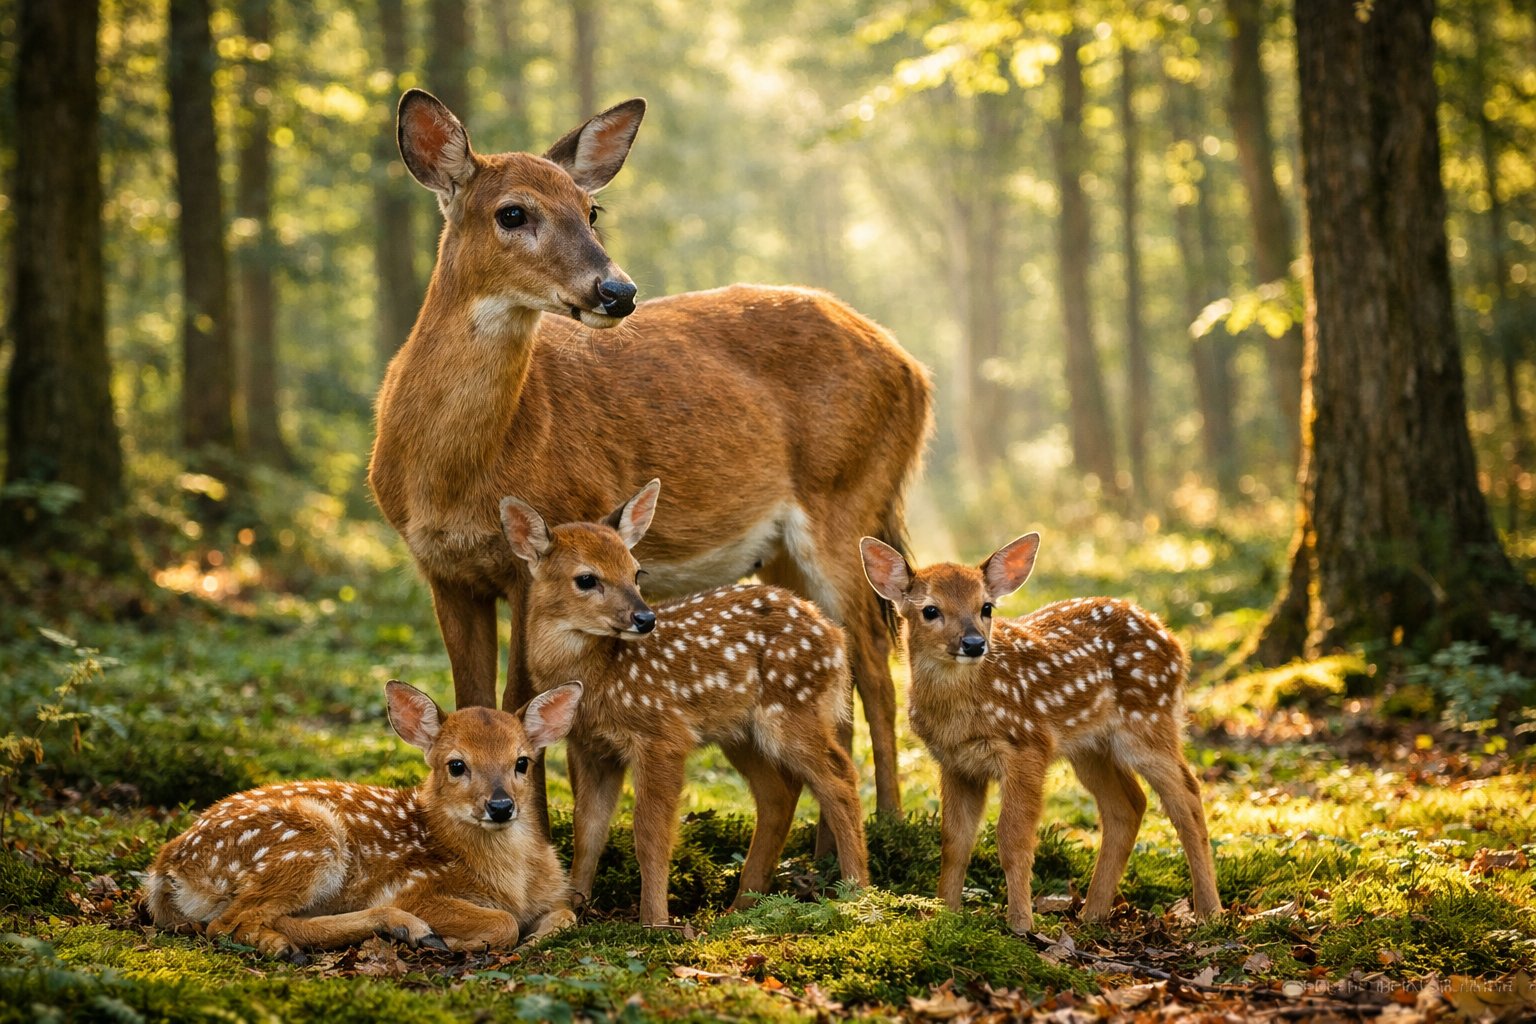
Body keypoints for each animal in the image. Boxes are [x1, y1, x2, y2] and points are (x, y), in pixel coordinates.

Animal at [145, 680, 583, 958]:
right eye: (457, 765)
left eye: (522, 762)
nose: (501, 806)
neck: (511, 880)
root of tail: (165, 865)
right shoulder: (413, 886)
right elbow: (505, 922)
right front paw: (466, 942)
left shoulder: (555, 894)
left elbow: (567, 914)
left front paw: (534, 938)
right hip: (308, 843)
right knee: (226, 924)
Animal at [368, 89, 931, 831]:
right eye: (512, 212)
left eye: (591, 209)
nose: (617, 291)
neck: (457, 474)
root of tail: (914, 369)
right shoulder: (443, 569)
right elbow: (472, 698)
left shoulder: (536, 558)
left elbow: (523, 704)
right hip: (785, 551)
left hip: (848, 499)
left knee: (874, 662)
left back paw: (890, 823)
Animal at [497, 479, 869, 926]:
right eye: (586, 579)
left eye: (636, 572)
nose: (645, 619)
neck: (600, 676)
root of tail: (835, 638)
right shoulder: (592, 749)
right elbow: (588, 828)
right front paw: (574, 907)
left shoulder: (663, 735)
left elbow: (650, 833)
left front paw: (654, 922)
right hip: (740, 732)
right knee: (779, 793)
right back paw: (741, 906)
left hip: (793, 706)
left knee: (840, 777)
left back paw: (857, 892)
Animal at [859, 532, 1223, 935]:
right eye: (930, 610)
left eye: (986, 607)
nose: (974, 643)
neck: (960, 715)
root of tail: (1173, 641)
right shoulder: (955, 763)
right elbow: (954, 842)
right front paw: (945, 915)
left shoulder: (1027, 746)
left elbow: (1012, 839)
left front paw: (1021, 923)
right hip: (1090, 748)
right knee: (1128, 805)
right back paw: (1092, 914)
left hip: (1148, 721)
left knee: (1187, 796)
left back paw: (1210, 913)